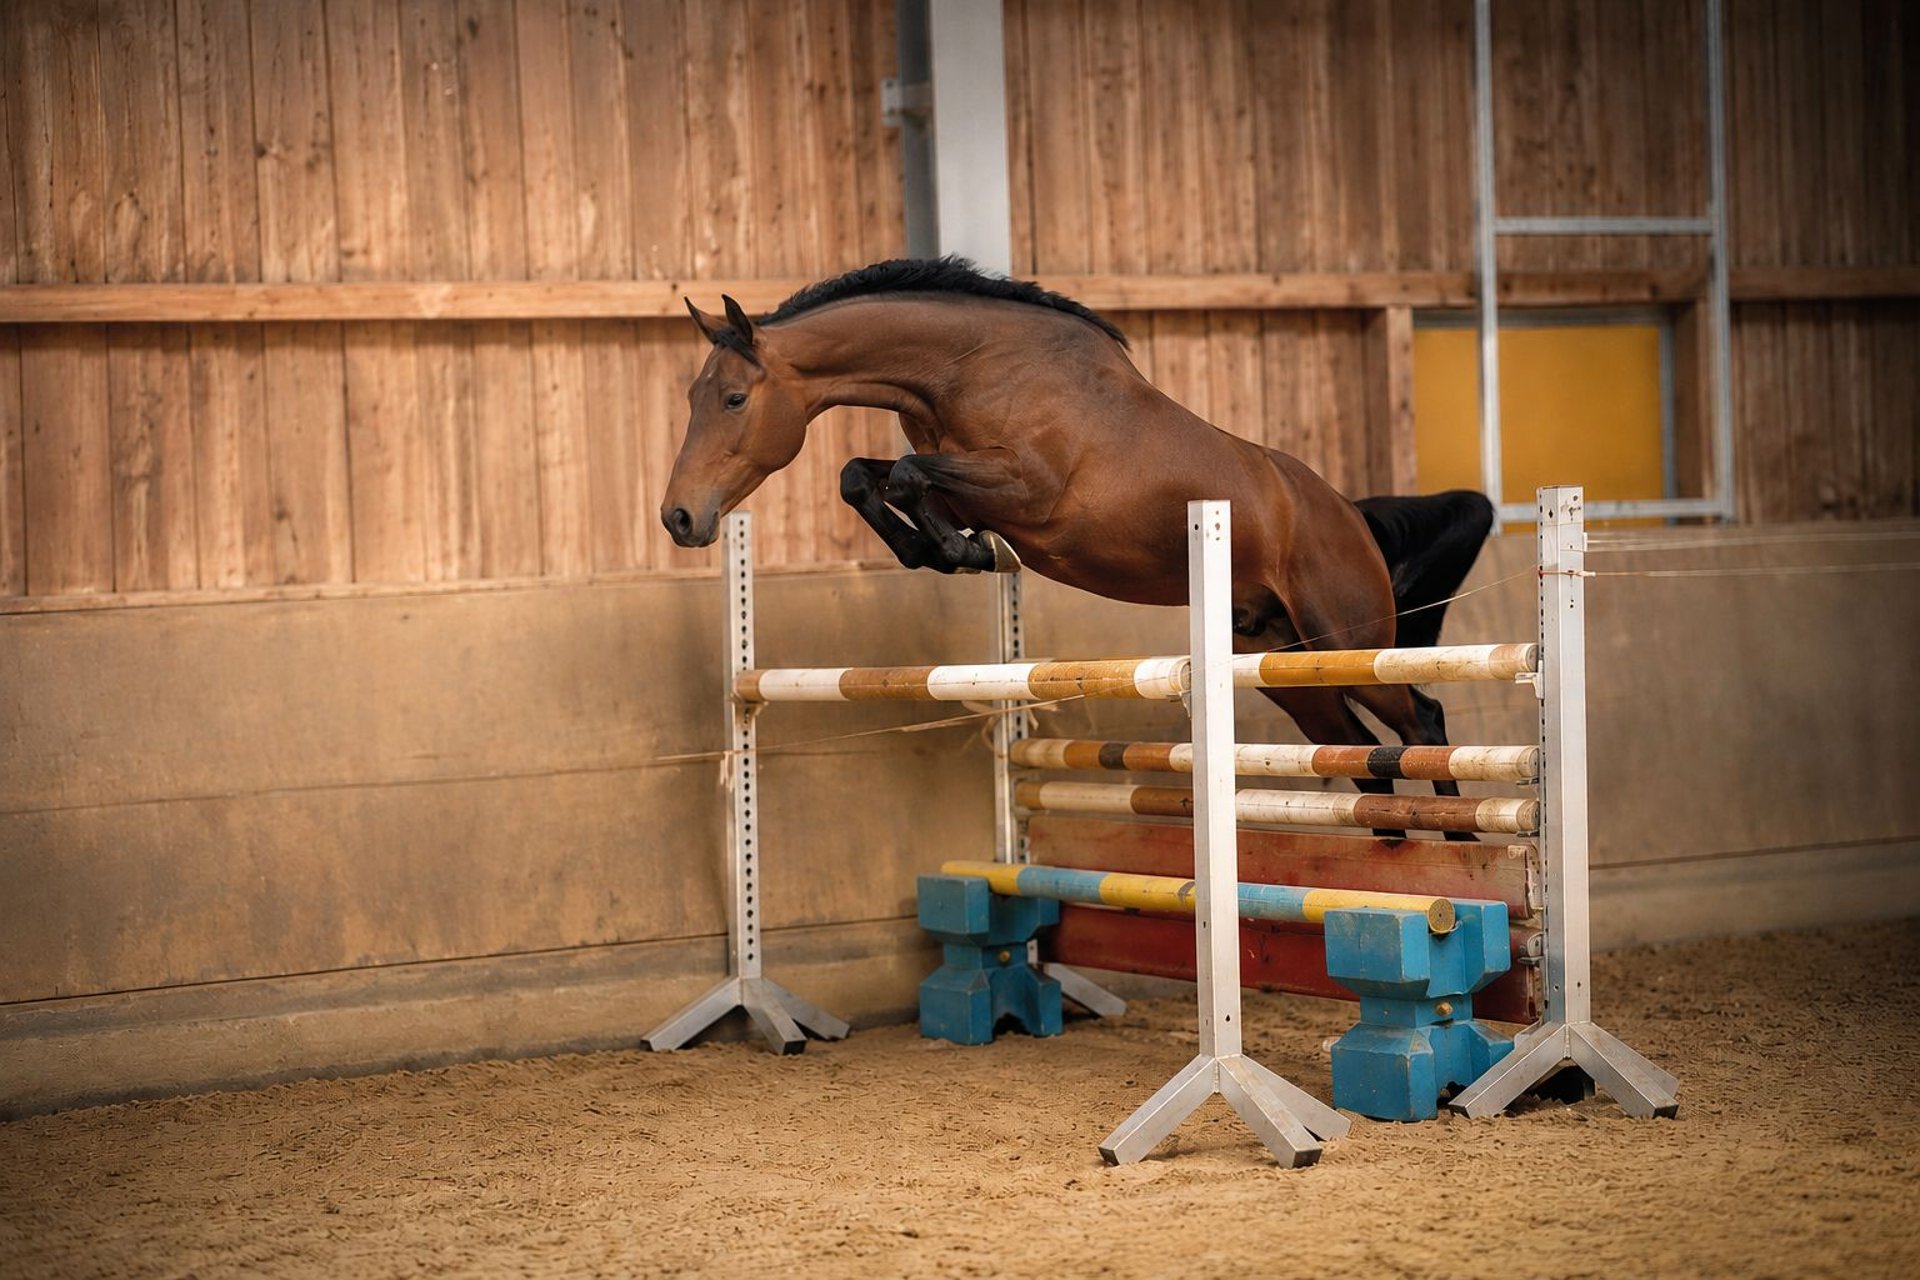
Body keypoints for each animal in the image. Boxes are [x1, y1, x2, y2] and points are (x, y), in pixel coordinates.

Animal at [661, 258, 1495, 837]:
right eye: (694, 397)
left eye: (733, 398)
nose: (678, 517)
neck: (969, 370)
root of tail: (1349, 516)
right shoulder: (965, 481)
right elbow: (866, 477)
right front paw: (952, 551)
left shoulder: (1029, 490)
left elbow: (903, 474)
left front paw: (964, 552)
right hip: (1291, 671)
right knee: (1364, 763)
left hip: (1349, 642)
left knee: (1420, 721)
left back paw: (1460, 855)